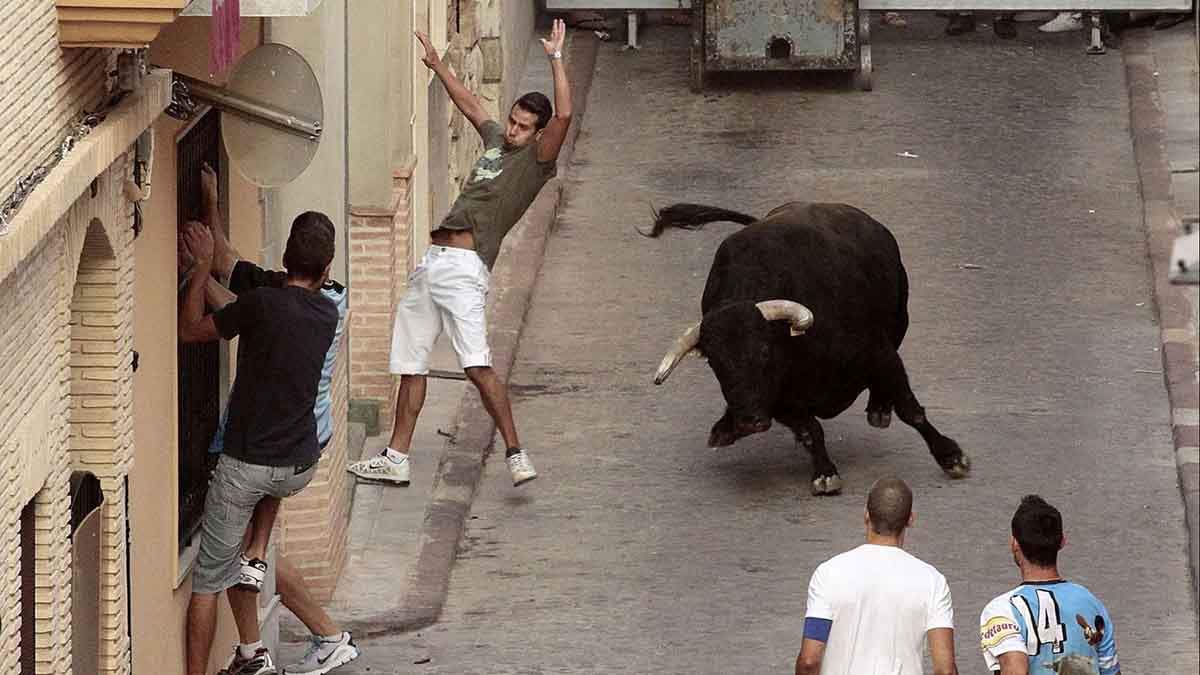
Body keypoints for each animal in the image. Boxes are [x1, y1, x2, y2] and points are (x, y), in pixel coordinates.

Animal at [643, 199, 969, 494]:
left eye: (764, 351)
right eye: (714, 363)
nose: (747, 421)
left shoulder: (879, 353)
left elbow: (910, 409)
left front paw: (951, 457)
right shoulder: (780, 401)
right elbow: (810, 430)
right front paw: (825, 473)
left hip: (900, 320)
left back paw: (879, 408)